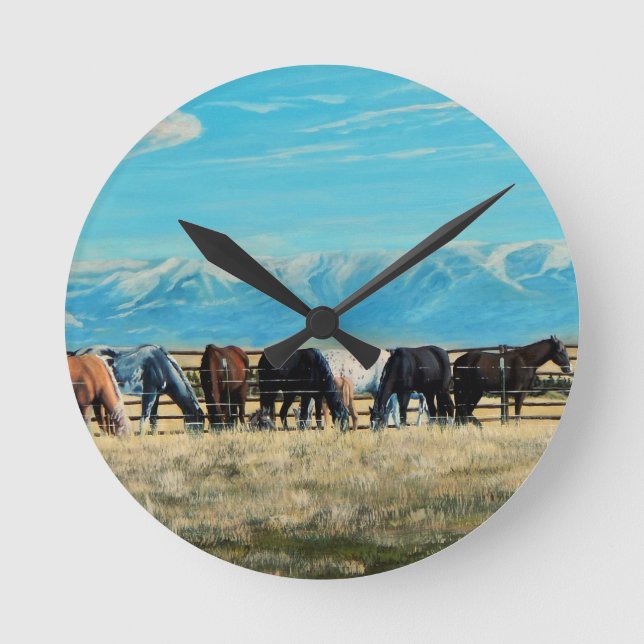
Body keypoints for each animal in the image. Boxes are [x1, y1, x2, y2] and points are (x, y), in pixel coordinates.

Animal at [74, 345, 204, 435]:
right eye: (198, 422)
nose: (198, 440)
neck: (161, 365)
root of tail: (77, 352)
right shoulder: (149, 392)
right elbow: (144, 418)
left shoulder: (156, 395)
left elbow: (153, 420)